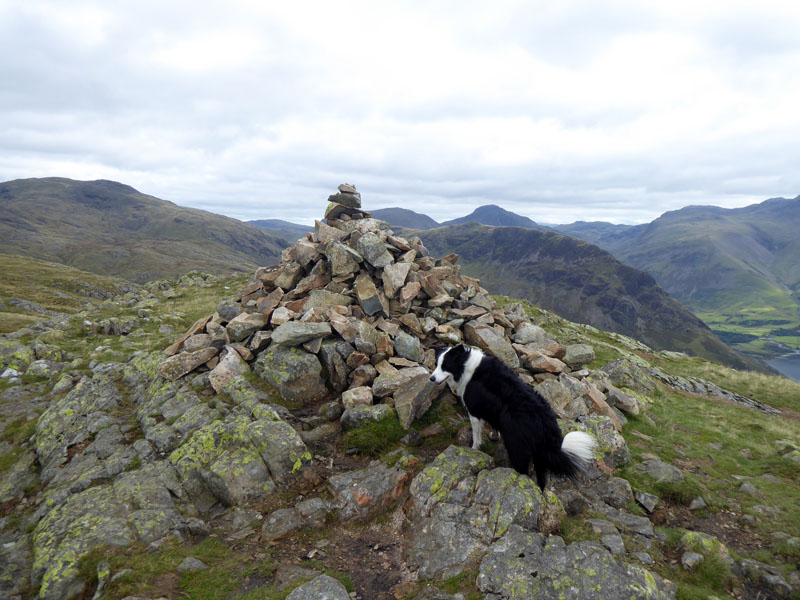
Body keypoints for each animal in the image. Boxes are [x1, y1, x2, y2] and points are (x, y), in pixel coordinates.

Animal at [432, 344, 592, 490]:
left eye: (445, 366)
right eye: (436, 364)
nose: (431, 378)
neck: (465, 366)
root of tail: (546, 424)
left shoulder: (474, 412)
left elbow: (477, 436)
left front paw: (473, 449)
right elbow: (494, 425)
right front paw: (494, 435)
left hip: (517, 447)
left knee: (523, 471)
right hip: (539, 455)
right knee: (541, 479)